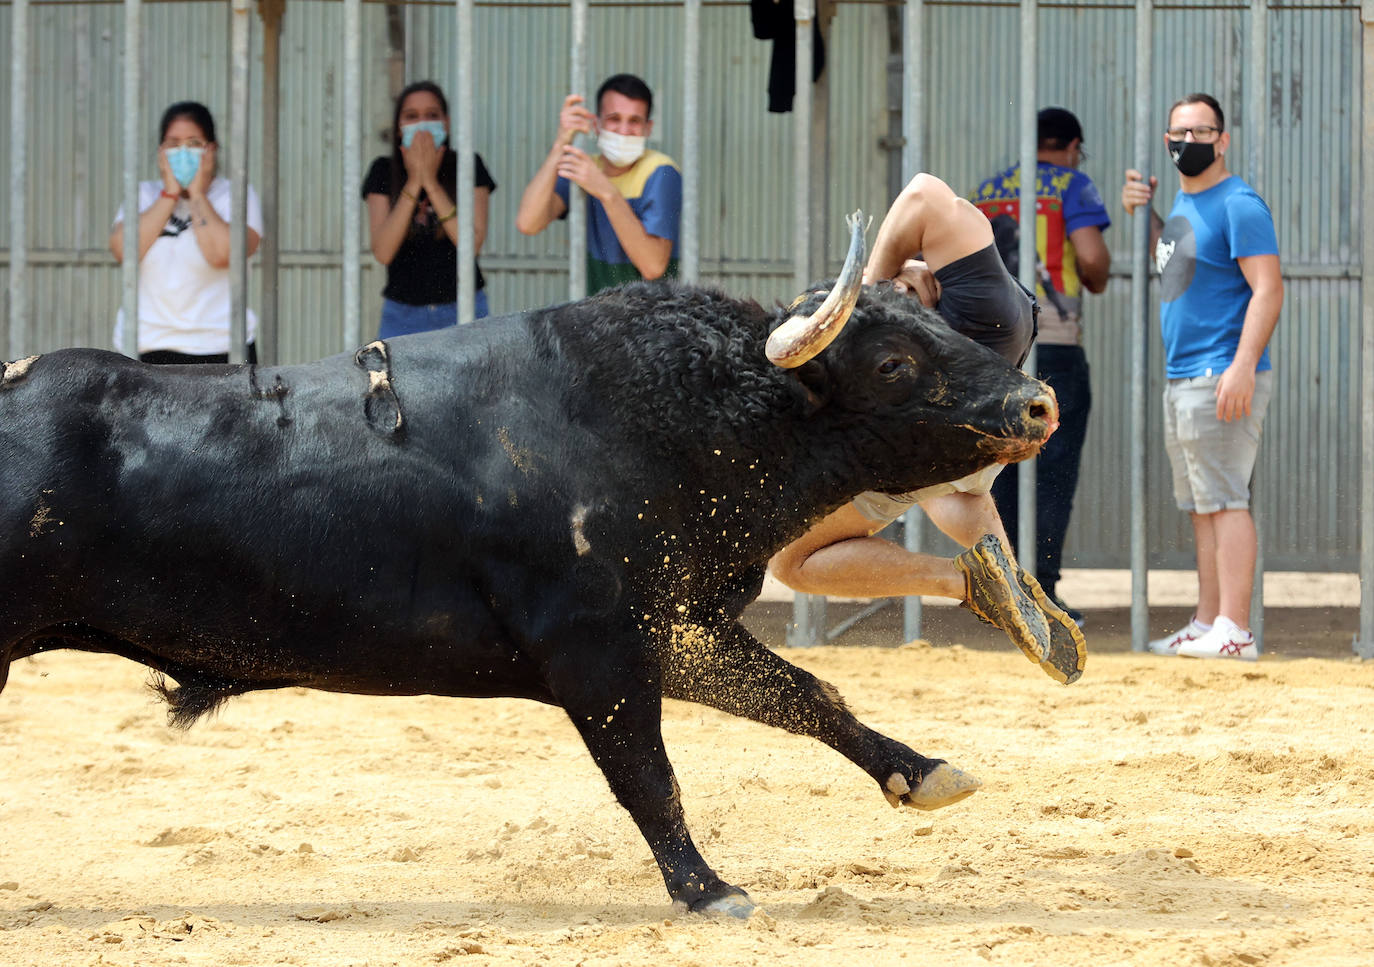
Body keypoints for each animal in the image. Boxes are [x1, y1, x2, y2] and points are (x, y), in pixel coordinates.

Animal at [0, 277, 1049, 912]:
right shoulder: (596, 653)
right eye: (893, 362)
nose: (1036, 403)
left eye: (941, 324)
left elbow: (806, 696)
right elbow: (647, 775)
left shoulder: (678, 631)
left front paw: (924, 772)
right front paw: (707, 888)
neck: (654, 417)